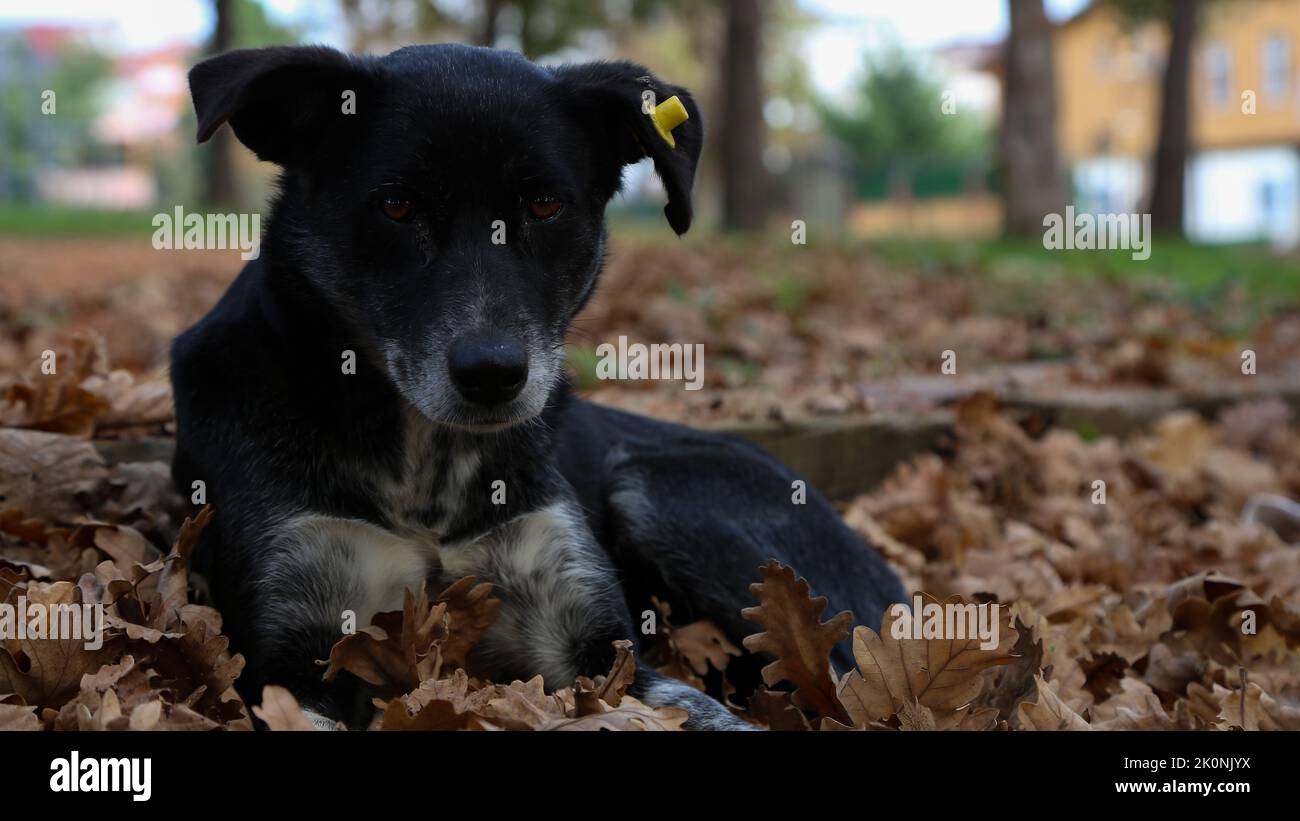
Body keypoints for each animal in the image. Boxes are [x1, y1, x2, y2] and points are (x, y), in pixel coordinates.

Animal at [172, 41, 904, 727]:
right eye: (397, 205)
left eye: (546, 204)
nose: (492, 373)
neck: (426, 466)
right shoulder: (295, 650)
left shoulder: (594, 646)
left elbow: (700, 709)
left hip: (653, 488)